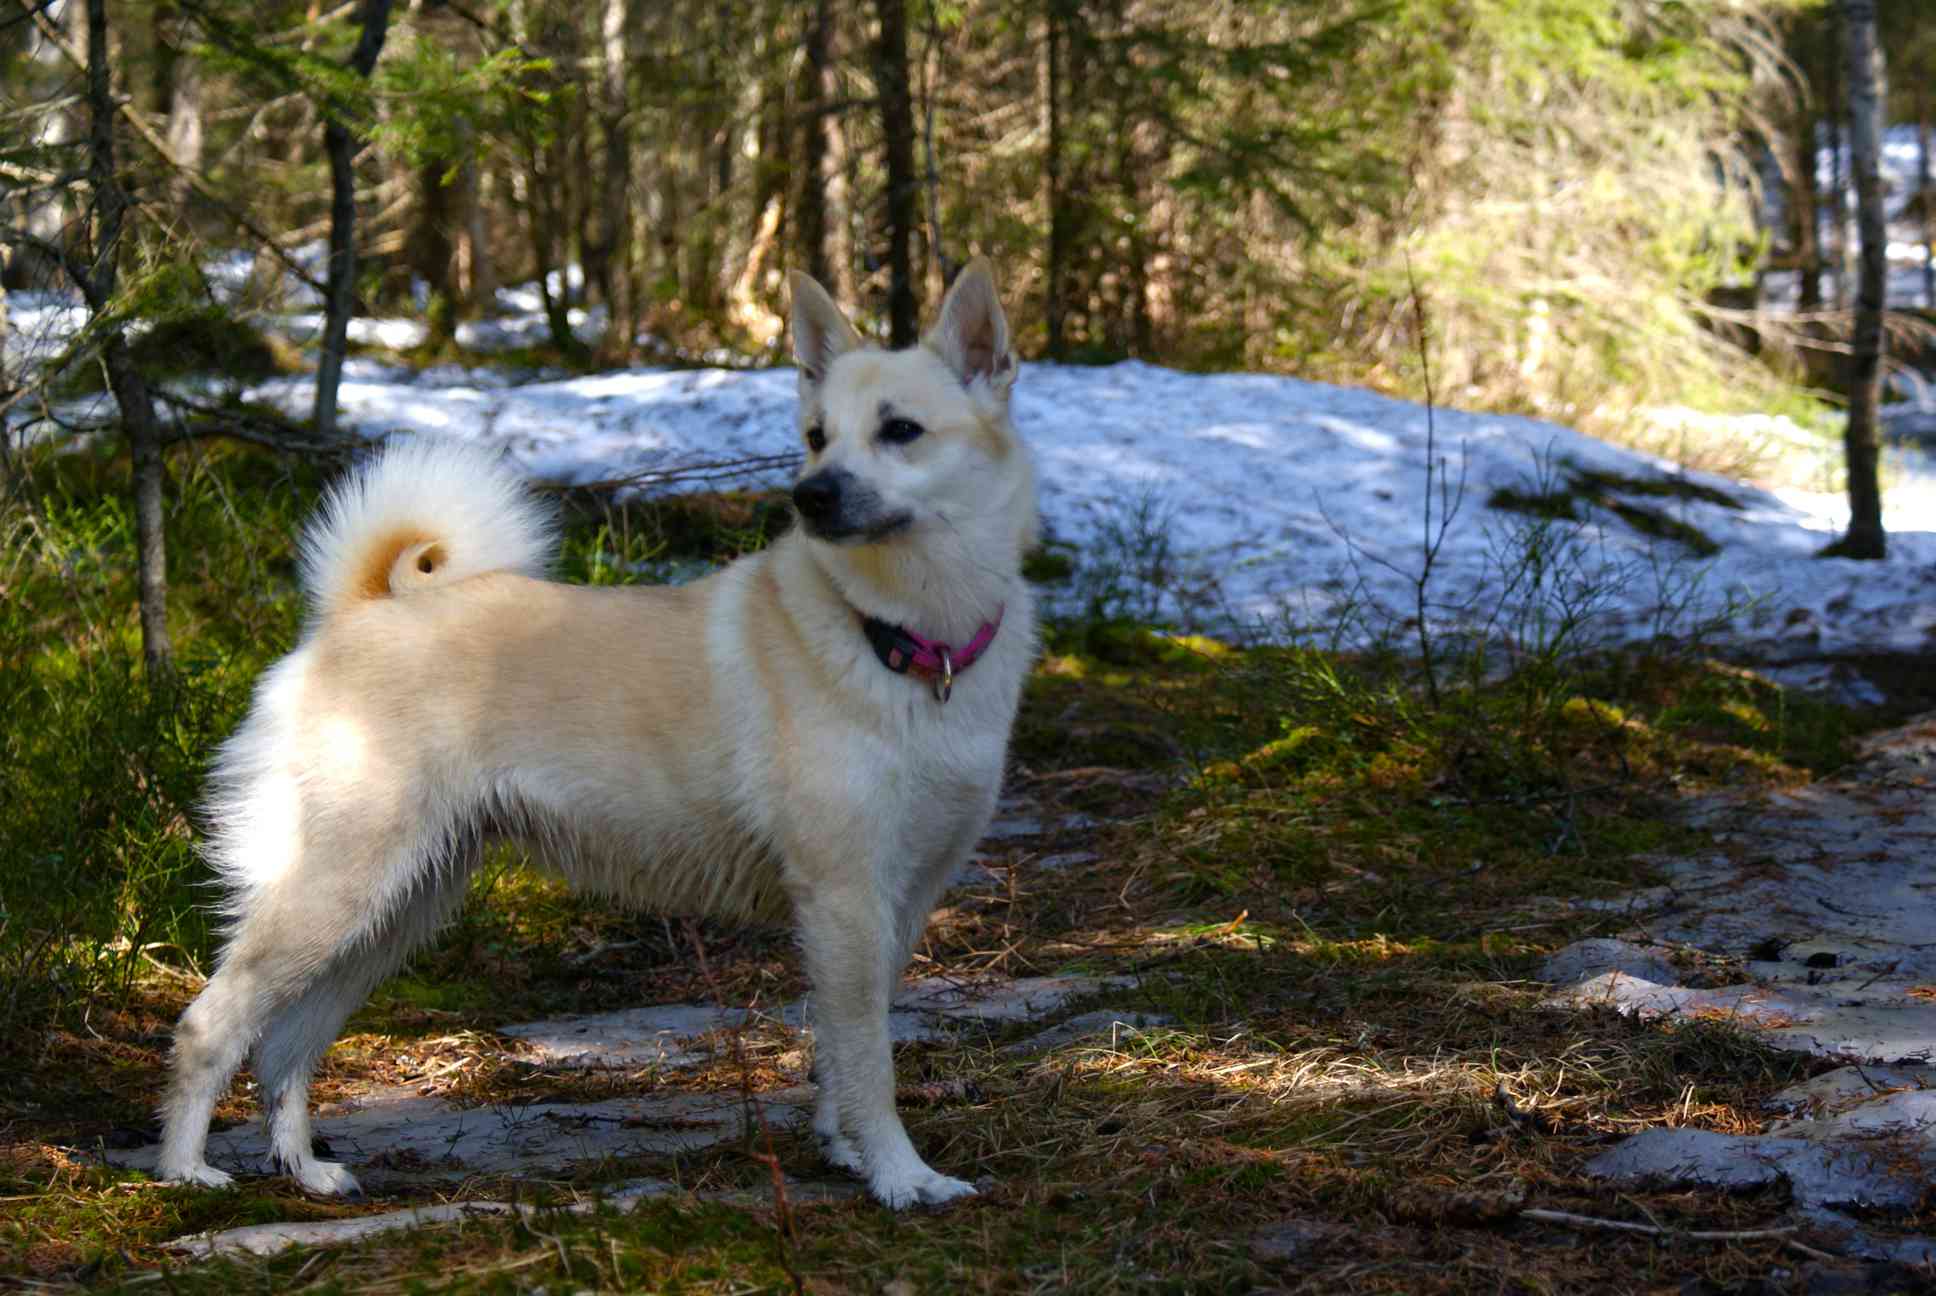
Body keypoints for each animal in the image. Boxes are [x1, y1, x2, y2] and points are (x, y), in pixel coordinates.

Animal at [156, 257, 1037, 1208]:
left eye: (900, 431)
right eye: (815, 437)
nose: (810, 495)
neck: (900, 638)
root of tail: (354, 612)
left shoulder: (897, 905)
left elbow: (843, 1053)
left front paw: (844, 1149)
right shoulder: (843, 900)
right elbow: (870, 1062)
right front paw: (903, 1178)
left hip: (392, 910)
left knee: (288, 1044)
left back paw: (305, 1169)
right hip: (337, 893)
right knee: (210, 1023)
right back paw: (184, 1171)